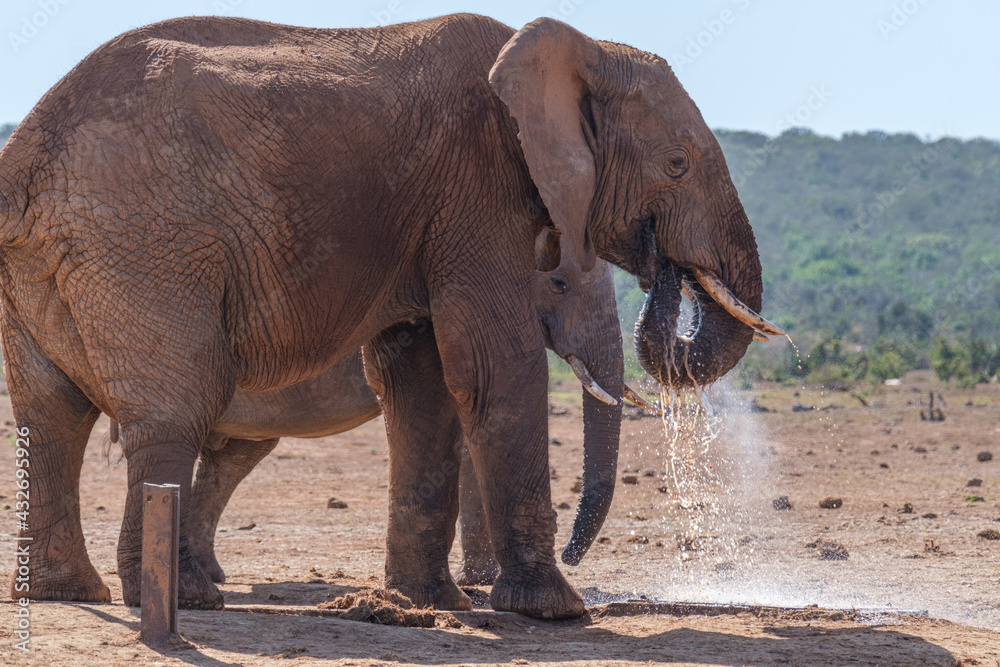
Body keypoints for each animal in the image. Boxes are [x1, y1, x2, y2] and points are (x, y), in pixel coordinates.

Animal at [0, 14, 779, 619]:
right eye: (676, 164)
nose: (664, 267)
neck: (580, 48)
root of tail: (27, 152)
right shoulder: (478, 183)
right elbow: (496, 363)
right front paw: (555, 610)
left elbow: (423, 377)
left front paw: (429, 603)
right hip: (147, 241)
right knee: (175, 406)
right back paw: (183, 598)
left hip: (46, 260)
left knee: (52, 413)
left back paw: (71, 592)